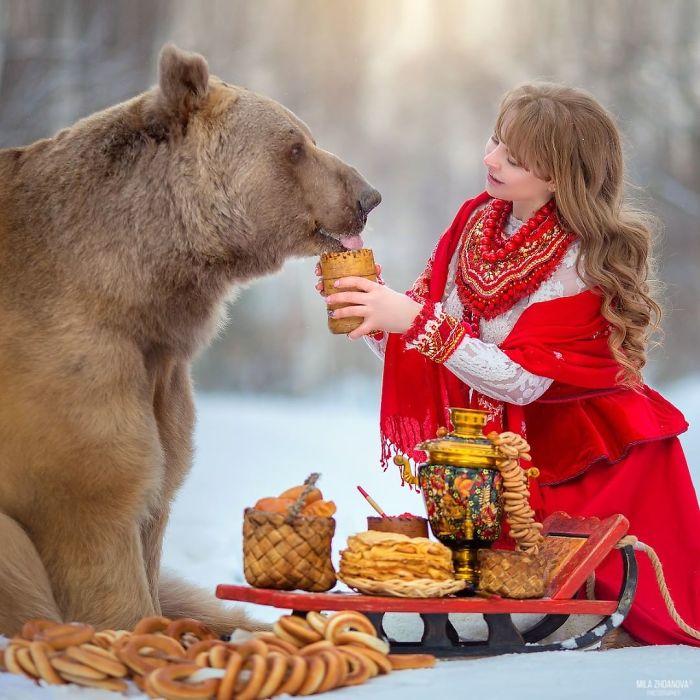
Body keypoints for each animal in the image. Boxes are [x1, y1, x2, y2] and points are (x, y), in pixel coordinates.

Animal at [0, 43, 380, 636]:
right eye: (296, 146)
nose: (368, 195)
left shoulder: (160, 379)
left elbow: (159, 496)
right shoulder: (69, 373)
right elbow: (100, 516)